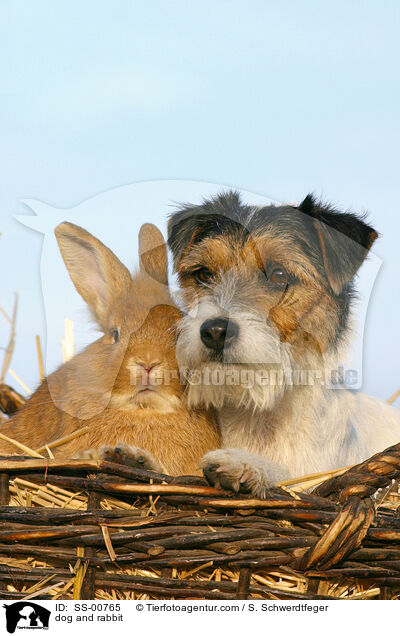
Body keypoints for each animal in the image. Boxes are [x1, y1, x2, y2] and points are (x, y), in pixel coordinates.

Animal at [166, 191, 400, 500]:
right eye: (203, 274)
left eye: (279, 275)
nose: (215, 331)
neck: (256, 411)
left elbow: (292, 479)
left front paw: (245, 463)